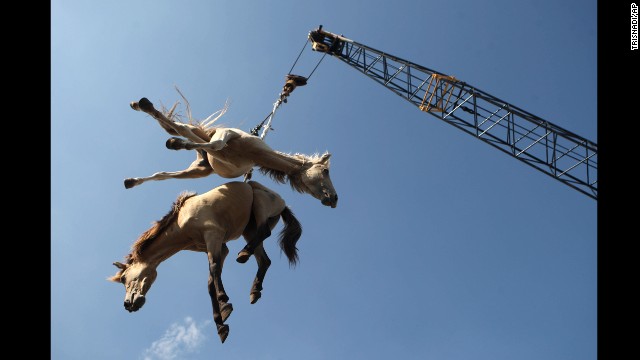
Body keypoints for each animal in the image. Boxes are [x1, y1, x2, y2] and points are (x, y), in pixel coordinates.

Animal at [108, 180, 302, 344]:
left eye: (124, 278)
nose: (127, 304)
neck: (181, 221)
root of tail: (282, 202)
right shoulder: (219, 247)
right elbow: (210, 282)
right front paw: (221, 322)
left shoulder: (213, 236)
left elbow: (214, 270)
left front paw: (224, 301)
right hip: (249, 229)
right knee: (264, 261)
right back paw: (254, 290)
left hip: (260, 206)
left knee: (264, 233)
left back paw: (244, 253)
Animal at [122, 97, 338, 208]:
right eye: (326, 171)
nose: (334, 199)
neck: (253, 154)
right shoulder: (227, 134)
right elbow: (216, 144)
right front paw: (176, 143)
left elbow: (214, 146)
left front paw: (177, 144)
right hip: (202, 140)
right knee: (177, 126)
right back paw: (143, 106)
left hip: (197, 171)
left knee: (164, 172)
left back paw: (132, 180)